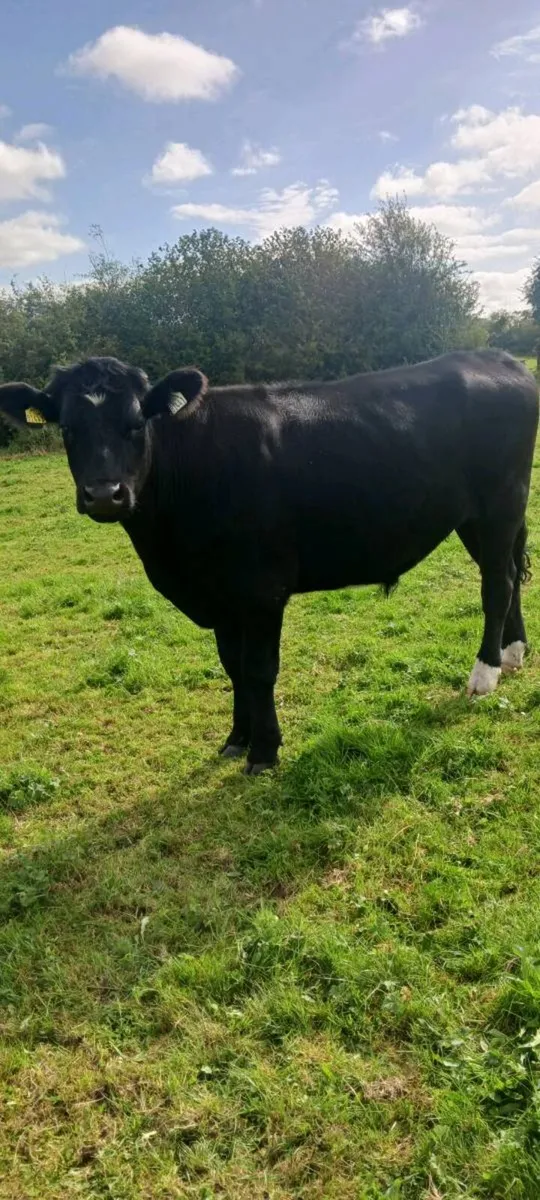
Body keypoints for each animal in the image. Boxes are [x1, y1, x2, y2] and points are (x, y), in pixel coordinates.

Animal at [0, 350, 537, 774]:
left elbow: (259, 669)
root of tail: (497, 358)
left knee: (497, 584)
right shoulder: (219, 596)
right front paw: (236, 739)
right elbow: (232, 666)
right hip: (474, 517)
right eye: (68, 429)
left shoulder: (261, 589)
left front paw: (265, 750)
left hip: (500, 502)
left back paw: (484, 674)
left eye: (135, 424)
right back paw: (513, 654)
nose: (104, 494)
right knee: (509, 576)